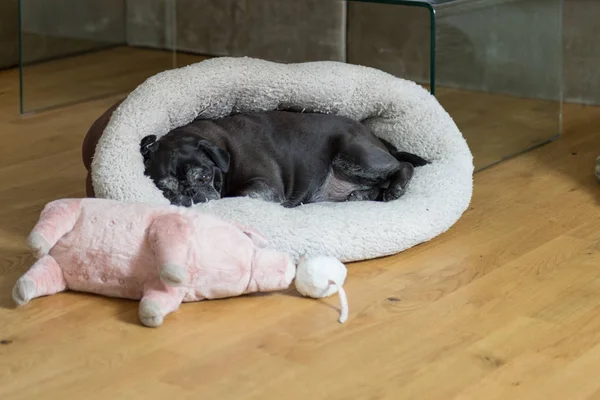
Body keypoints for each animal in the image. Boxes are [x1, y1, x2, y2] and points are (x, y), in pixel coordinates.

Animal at [141, 110, 428, 208]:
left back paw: (396, 188)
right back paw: (360, 196)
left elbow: (238, 195)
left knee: (403, 166)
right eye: (165, 190)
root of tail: (375, 137)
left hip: (355, 156)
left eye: (203, 176)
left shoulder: (263, 186)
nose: (189, 193)